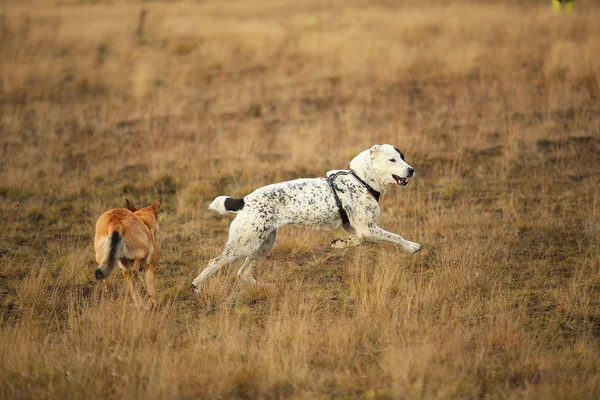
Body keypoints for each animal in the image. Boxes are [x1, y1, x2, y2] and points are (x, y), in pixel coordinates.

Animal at [192, 144, 418, 290]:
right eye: (392, 160)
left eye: (403, 157)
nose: (412, 170)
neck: (360, 180)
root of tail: (244, 200)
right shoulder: (367, 229)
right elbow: (396, 237)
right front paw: (412, 247)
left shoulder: (354, 228)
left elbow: (354, 241)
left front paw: (339, 244)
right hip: (243, 245)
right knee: (214, 262)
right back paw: (196, 286)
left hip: (263, 244)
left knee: (243, 272)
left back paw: (264, 287)